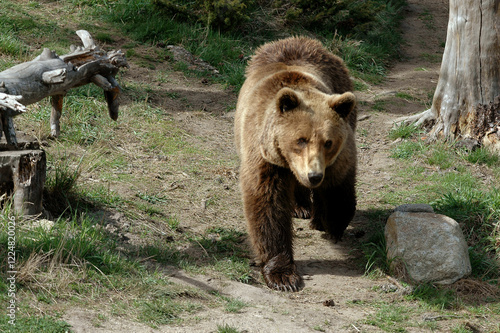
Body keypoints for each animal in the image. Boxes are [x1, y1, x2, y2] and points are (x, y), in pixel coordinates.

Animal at [233, 37, 356, 290]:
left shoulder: (338, 156)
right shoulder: (265, 157)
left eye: (328, 142)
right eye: (301, 139)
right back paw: (301, 207)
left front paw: (332, 224)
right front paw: (283, 275)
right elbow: (268, 206)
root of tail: (298, 40)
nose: (314, 176)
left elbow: (339, 186)